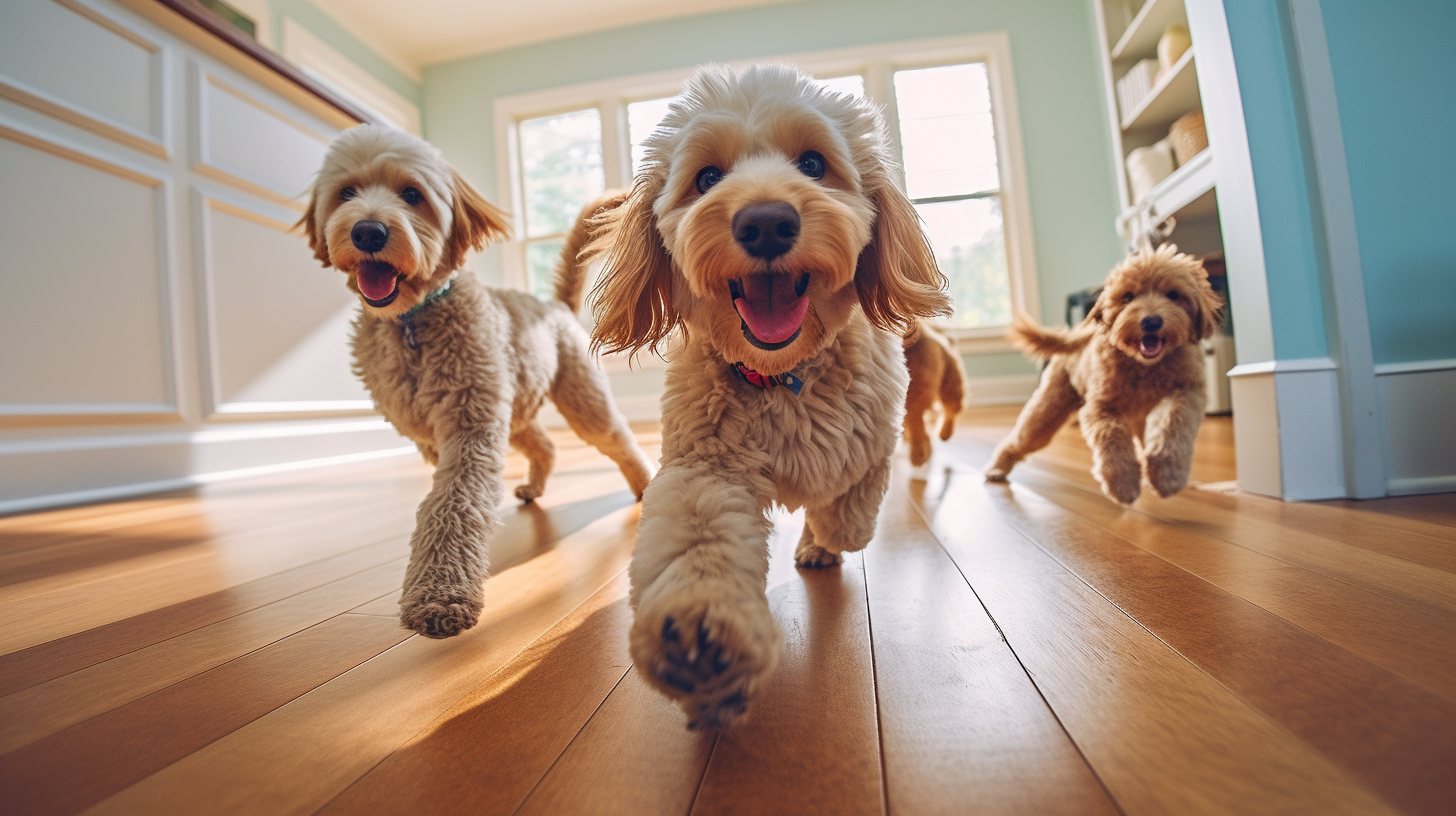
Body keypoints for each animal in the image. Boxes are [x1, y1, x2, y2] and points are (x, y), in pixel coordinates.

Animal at [298, 124, 652, 641]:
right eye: (346, 193)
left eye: (412, 194)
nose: (368, 231)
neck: (413, 319)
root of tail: (554, 306)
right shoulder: (436, 436)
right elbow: (445, 496)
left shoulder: (469, 428)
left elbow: (451, 503)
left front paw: (439, 594)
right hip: (513, 407)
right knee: (545, 444)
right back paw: (534, 487)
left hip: (580, 402)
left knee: (619, 438)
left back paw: (644, 484)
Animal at [585, 63, 949, 725]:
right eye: (706, 177)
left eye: (813, 163)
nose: (766, 222)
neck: (780, 373)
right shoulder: (705, 469)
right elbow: (700, 541)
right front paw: (703, 640)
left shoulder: (868, 446)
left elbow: (847, 515)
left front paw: (825, 535)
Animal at [902, 323, 960, 466]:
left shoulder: (915, 398)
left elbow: (916, 427)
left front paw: (918, 453)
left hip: (951, 389)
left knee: (951, 413)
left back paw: (945, 433)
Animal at [984, 243, 1223, 504]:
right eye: (1128, 297)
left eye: (1173, 295)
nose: (1150, 321)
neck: (1144, 367)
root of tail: (1080, 329)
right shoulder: (1100, 408)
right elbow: (1112, 440)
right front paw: (1123, 484)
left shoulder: (1186, 394)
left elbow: (1173, 427)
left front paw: (1167, 476)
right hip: (1046, 411)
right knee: (1019, 439)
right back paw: (997, 468)